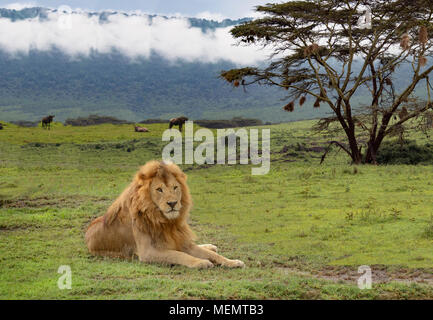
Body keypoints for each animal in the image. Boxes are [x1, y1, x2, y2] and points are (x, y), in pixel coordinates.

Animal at [86, 159, 245, 268]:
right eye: (159, 189)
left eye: (175, 187)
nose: (173, 203)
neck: (166, 222)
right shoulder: (148, 252)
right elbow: (178, 254)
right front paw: (201, 262)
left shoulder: (182, 242)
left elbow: (211, 254)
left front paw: (233, 262)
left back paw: (211, 246)